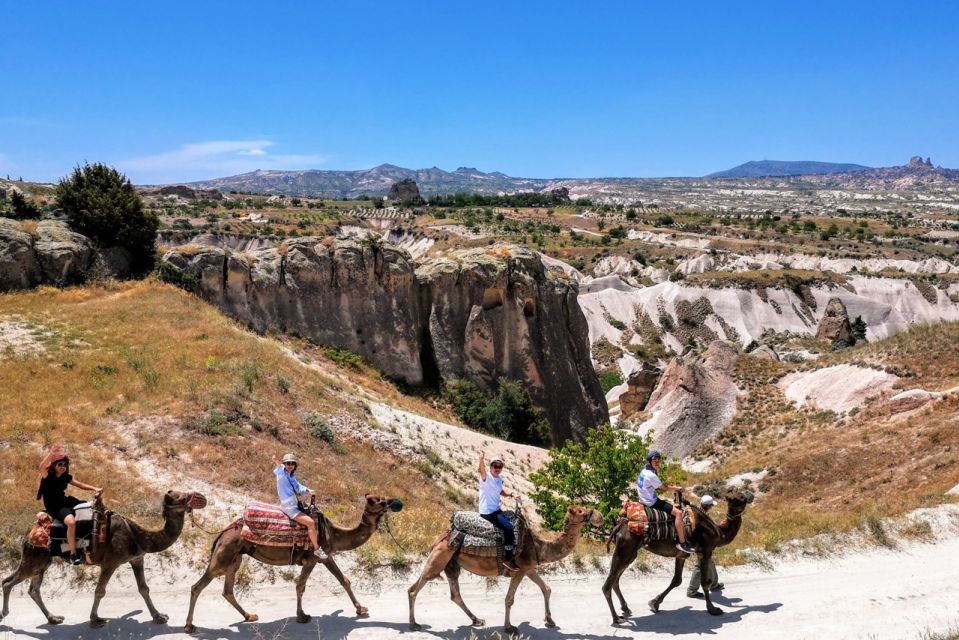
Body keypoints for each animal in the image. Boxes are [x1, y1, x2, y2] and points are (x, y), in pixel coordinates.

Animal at [0, 490, 204, 624]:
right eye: (182, 497)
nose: (200, 498)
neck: (139, 536)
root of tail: (29, 531)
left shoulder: (137, 558)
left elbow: (144, 589)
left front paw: (159, 616)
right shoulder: (111, 562)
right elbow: (100, 591)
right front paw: (95, 619)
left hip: (42, 561)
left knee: (33, 588)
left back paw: (54, 618)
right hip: (34, 556)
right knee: (9, 582)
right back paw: (4, 614)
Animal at [186, 492, 404, 632]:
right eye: (378, 501)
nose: (395, 502)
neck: (333, 533)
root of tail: (223, 532)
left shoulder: (326, 555)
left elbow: (344, 580)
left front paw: (361, 609)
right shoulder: (313, 558)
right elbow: (300, 586)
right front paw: (302, 616)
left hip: (235, 558)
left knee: (227, 590)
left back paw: (250, 616)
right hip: (223, 556)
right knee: (198, 586)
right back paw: (189, 626)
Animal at [408, 504, 604, 636]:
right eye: (580, 511)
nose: (598, 515)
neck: (538, 546)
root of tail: (441, 537)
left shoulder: (529, 568)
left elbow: (546, 588)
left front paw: (549, 620)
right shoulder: (519, 570)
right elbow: (509, 599)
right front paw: (510, 628)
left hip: (451, 563)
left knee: (454, 594)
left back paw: (477, 620)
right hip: (439, 557)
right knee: (414, 589)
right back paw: (414, 624)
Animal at [604, 488, 752, 624]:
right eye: (741, 498)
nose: (750, 495)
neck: (719, 532)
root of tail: (619, 526)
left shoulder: (681, 555)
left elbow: (676, 580)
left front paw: (654, 603)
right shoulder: (705, 551)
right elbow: (705, 582)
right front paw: (713, 609)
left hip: (630, 554)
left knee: (615, 580)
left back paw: (625, 608)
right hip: (625, 548)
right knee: (607, 584)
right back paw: (617, 619)